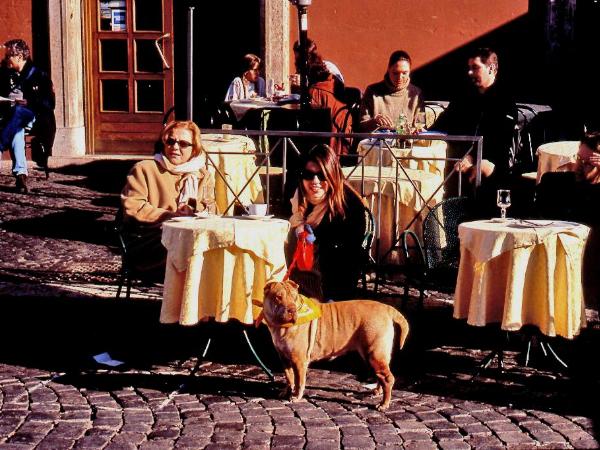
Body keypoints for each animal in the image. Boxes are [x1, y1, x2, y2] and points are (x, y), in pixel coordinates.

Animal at [260, 282, 410, 412]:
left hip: (374, 353)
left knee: (388, 378)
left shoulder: (299, 360)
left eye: (294, 296)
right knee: (381, 376)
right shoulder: (284, 358)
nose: (291, 309)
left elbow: (299, 381)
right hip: (376, 355)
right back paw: (377, 392)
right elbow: (289, 377)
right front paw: (286, 391)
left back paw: (383, 404)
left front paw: (296, 396)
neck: (281, 327)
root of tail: (386, 308)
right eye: (278, 297)